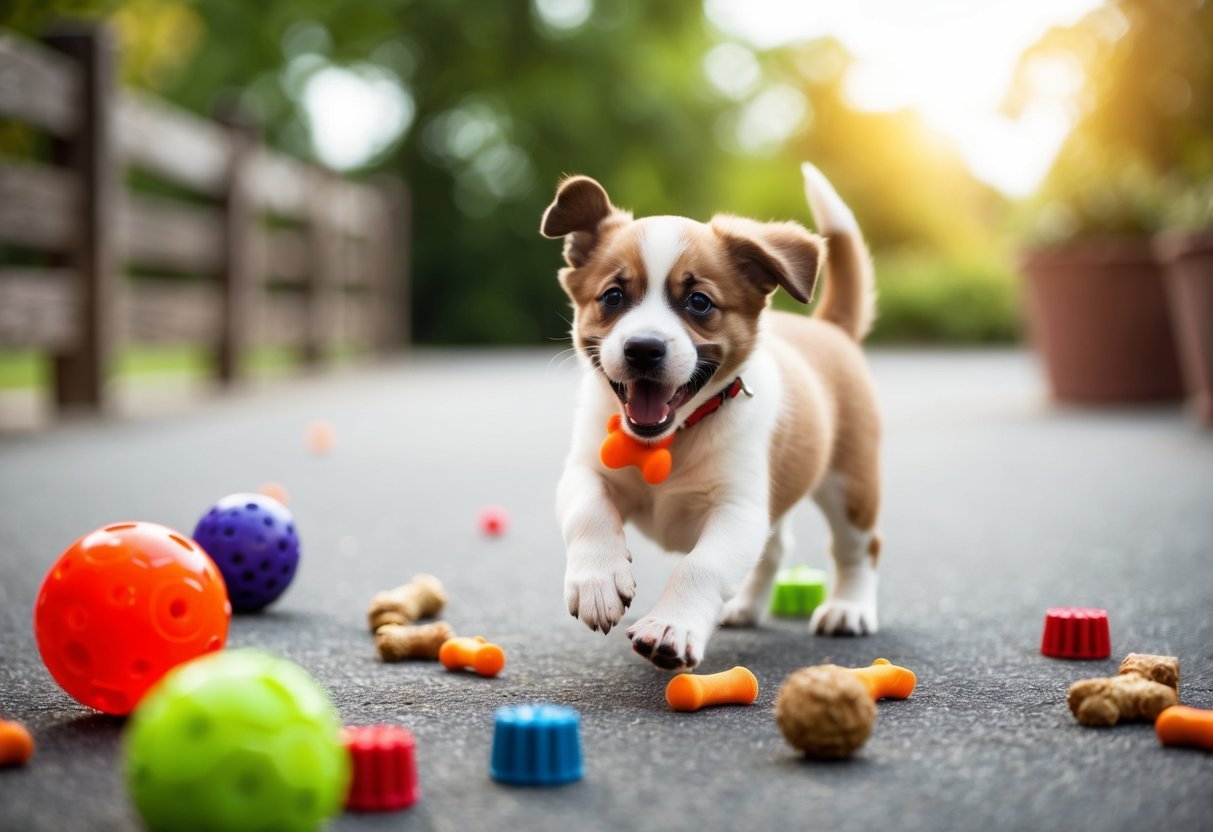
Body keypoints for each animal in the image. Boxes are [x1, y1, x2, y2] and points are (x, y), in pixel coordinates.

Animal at [545, 162, 878, 669]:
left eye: (699, 302)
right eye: (613, 297)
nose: (643, 348)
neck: (667, 440)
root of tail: (828, 328)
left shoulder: (737, 509)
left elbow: (701, 565)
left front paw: (671, 626)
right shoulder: (585, 470)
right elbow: (588, 511)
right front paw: (597, 581)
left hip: (851, 485)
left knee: (857, 549)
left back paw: (848, 608)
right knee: (776, 548)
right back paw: (744, 607)